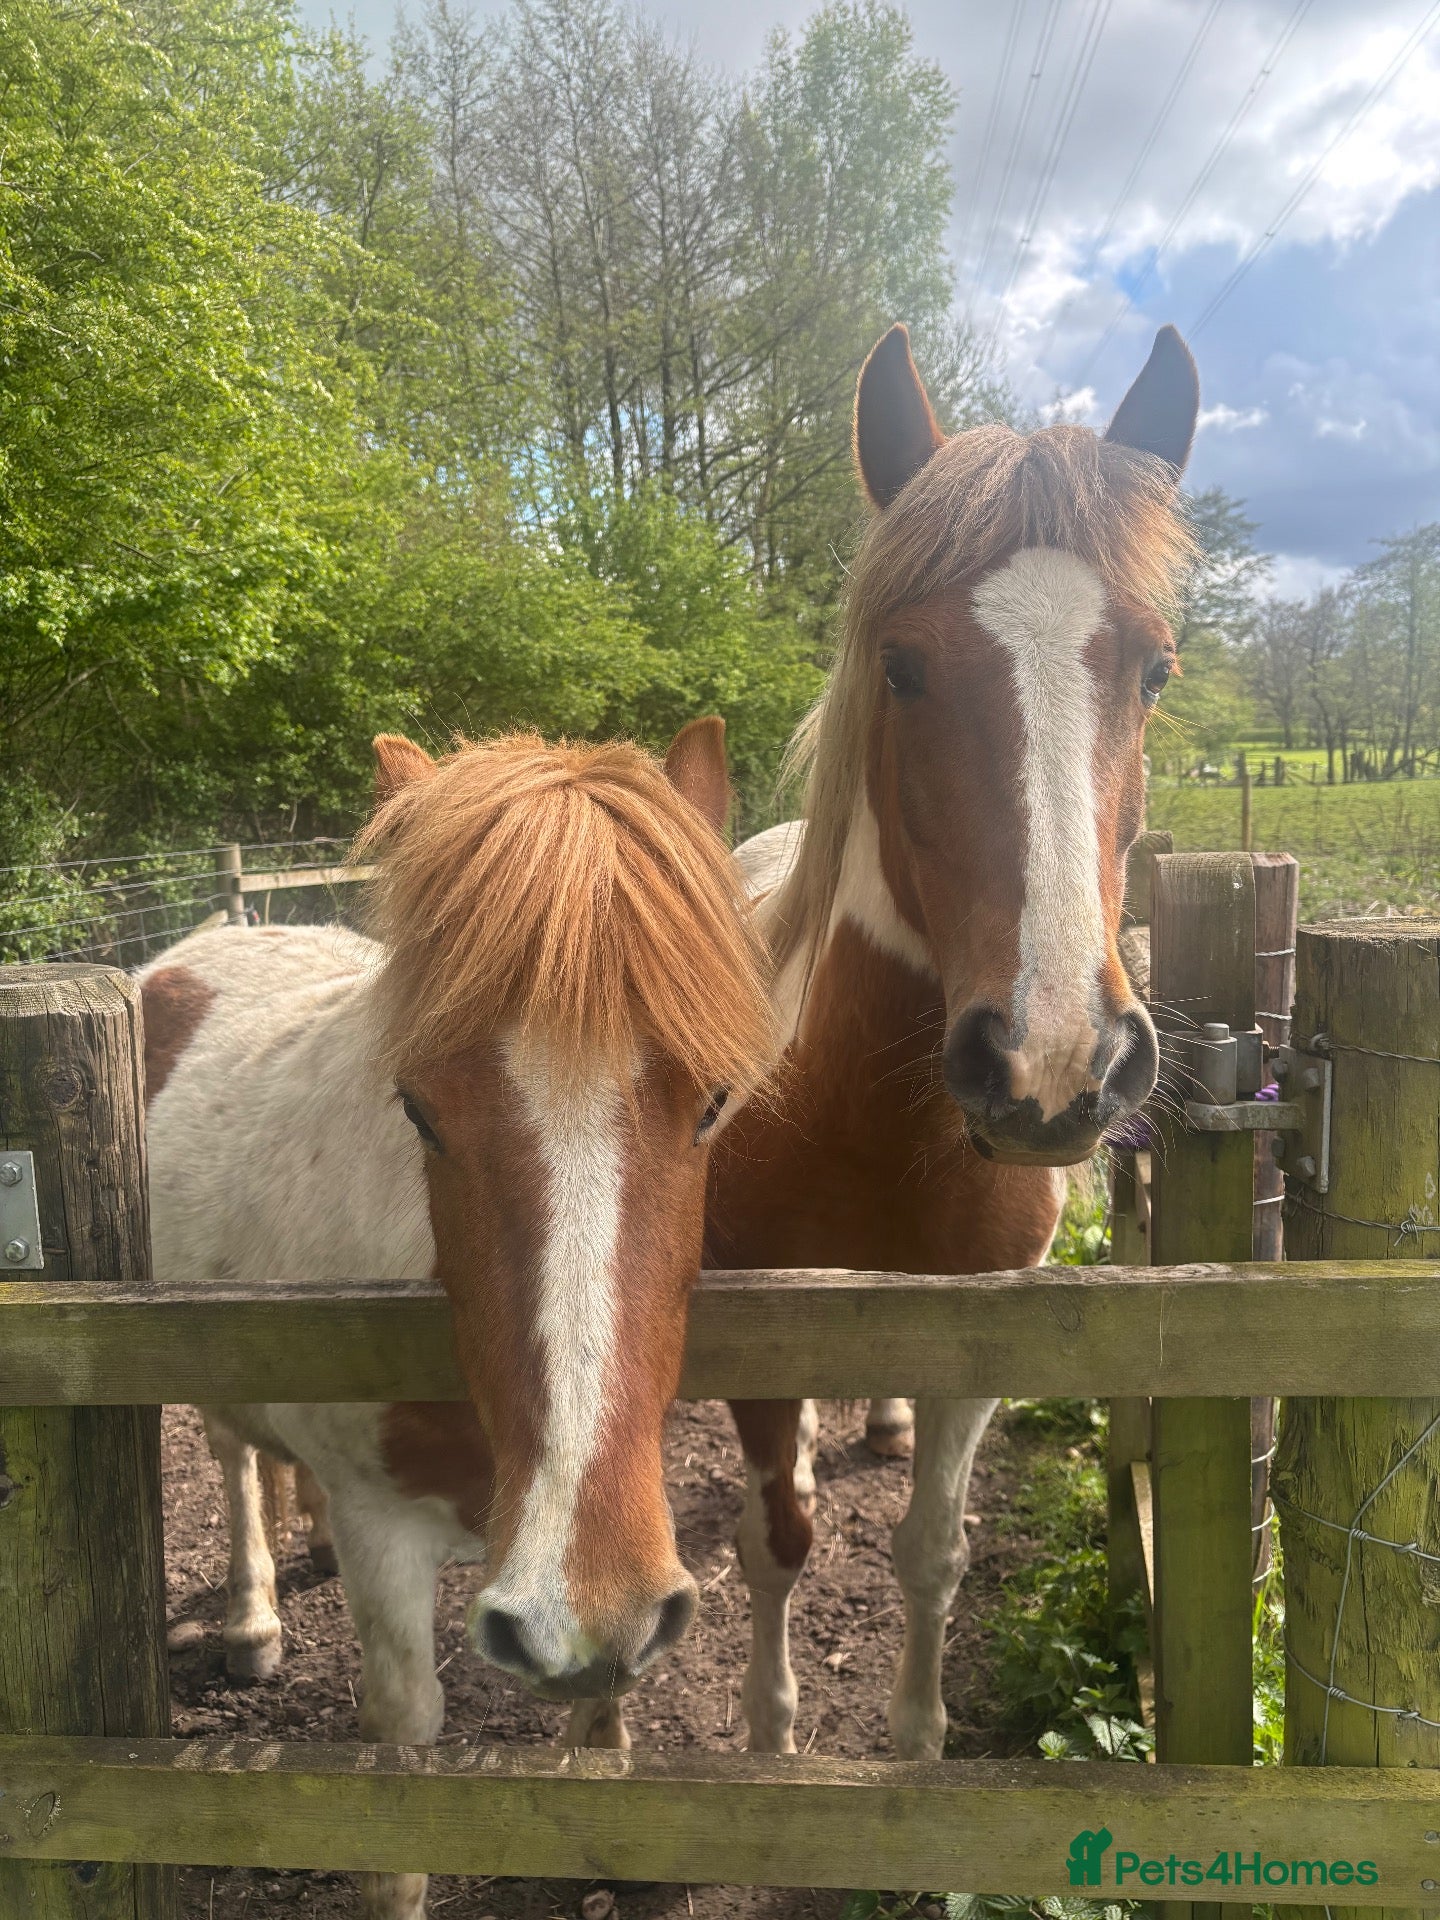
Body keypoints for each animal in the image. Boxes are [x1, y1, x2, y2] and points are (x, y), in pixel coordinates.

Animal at [140, 720, 775, 1919]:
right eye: (419, 1111)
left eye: (716, 1103)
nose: (581, 1602)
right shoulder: (382, 1533)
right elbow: (404, 1767)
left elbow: (604, 1716)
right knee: (233, 1456)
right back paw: (252, 1621)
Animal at [702, 323, 1201, 1759]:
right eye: (902, 666)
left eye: (1155, 669)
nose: (1053, 1063)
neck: (861, 1119)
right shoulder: (755, 1337)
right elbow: (775, 1542)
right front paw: (770, 1736)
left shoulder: (975, 1347)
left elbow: (933, 1551)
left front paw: (919, 1739)